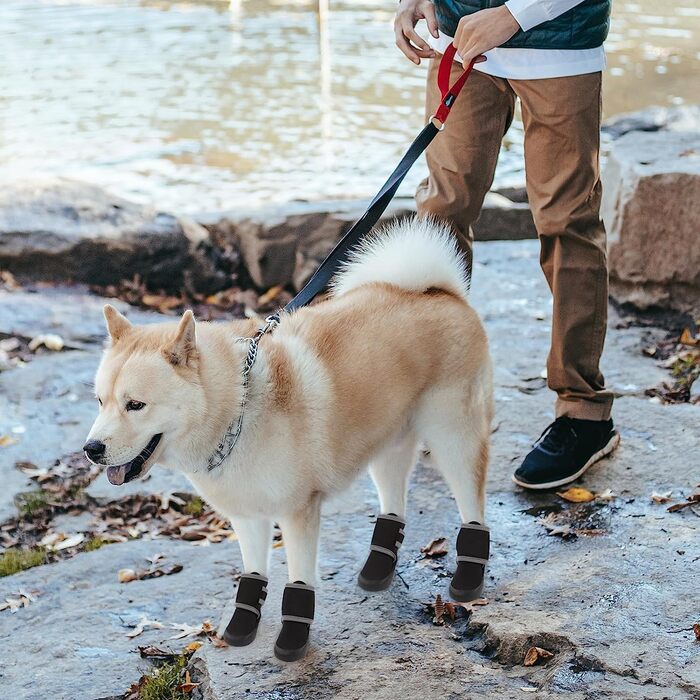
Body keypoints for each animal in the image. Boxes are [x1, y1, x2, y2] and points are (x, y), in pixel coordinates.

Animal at [83, 219, 492, 660]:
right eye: (101, 401)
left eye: (135, 405)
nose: (91, 450)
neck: (239, 411)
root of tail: (440, 292)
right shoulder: (247, 516)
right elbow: (252, 574)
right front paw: (242, 626)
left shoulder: (298, 513)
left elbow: (297, 582)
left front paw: (293, 639)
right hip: (387, 445)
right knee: (393, 503)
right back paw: (378, 568)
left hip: (454, 441)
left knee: (472, 507)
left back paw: (469, 578)